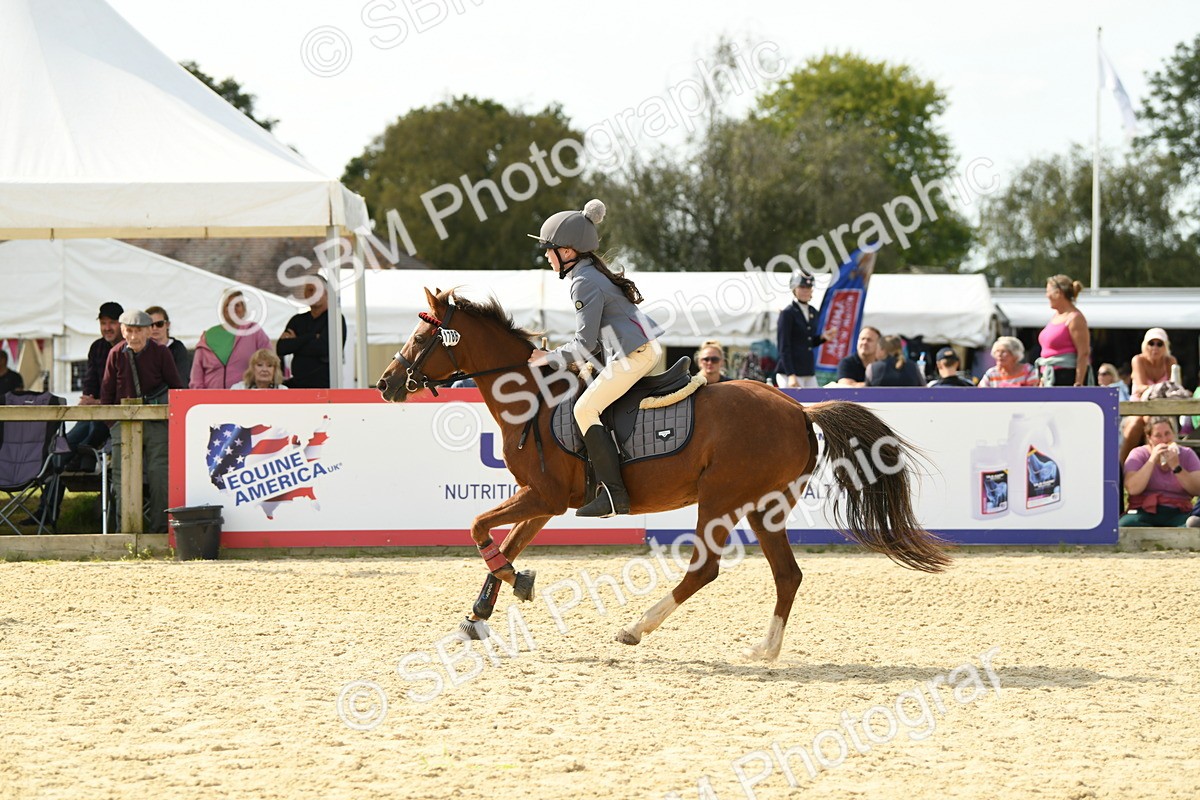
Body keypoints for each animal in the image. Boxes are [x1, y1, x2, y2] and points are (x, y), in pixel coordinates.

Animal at [377, 288, 949, 660]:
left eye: (421, 336)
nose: (385, 384)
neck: (532, 399)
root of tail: (797, 408)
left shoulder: (545, 496)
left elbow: (479, 528)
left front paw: (515, 584)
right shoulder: (540, 499)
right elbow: (507, 542)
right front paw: (479, 615)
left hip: (719, 500)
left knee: (705, 570)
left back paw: (636, 628)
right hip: (764, 508)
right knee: (787, 574)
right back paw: (765, 649)